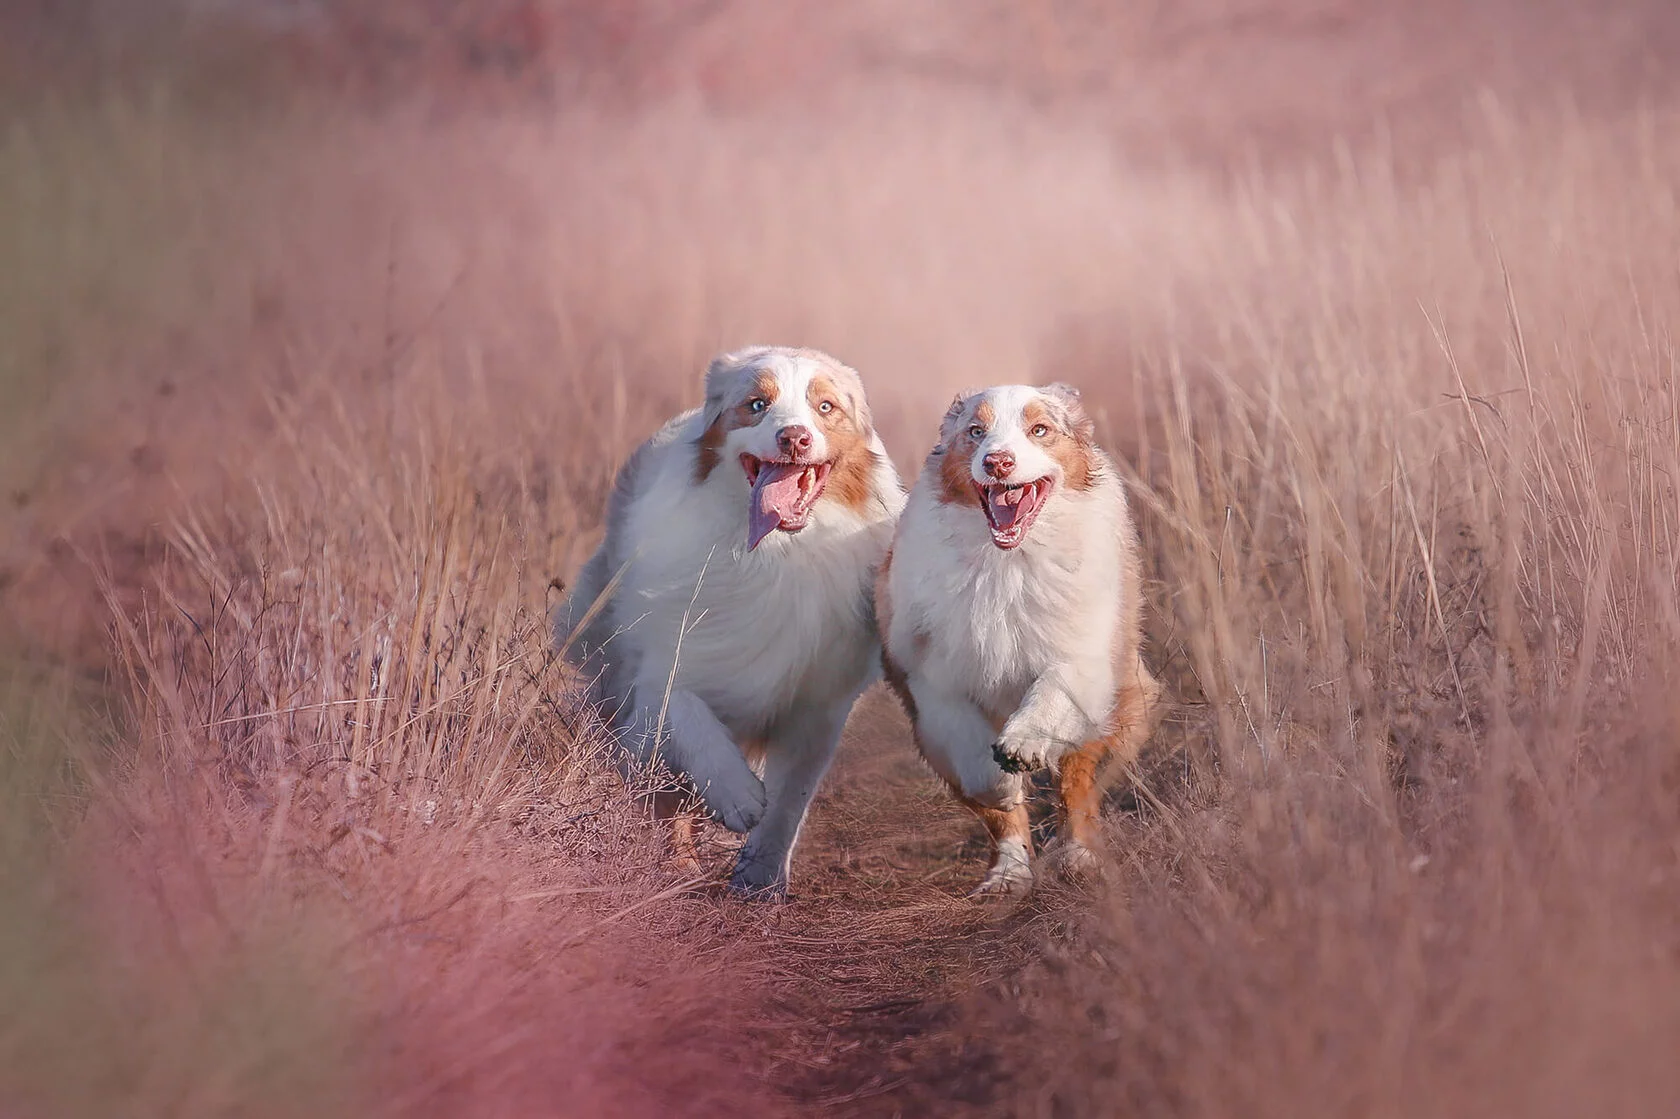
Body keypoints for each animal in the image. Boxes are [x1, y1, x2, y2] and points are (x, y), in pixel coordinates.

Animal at [554, 344, 907, 893]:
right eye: (757, 405)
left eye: (825, 407)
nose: (794, 437)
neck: (775, 555)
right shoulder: (660, 665)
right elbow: (688, 714)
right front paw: (737, 796)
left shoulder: (819, 704)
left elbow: (788, 803)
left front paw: (761, 878)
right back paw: (680, 862)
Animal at [880, 383, 1155, 900]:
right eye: (975, 431)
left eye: (1039, 430)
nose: (998, 462)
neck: (1007, 564)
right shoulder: (934, 679)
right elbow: (980, 769)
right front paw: (1002, 785)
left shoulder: (1083, 655)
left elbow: (1050, 697)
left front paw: (1023, 744)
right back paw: (1007, 876)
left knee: (1077, 788)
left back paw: (1077, 858)